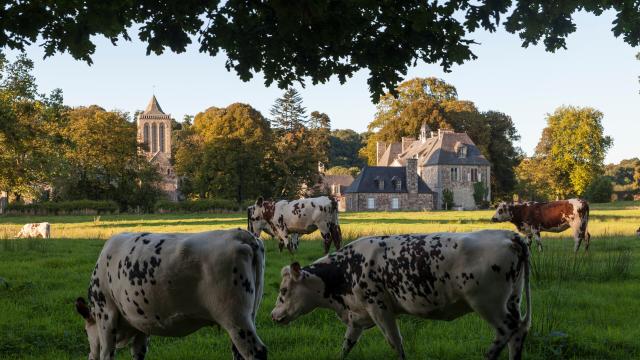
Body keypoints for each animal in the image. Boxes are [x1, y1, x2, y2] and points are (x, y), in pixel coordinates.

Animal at [75, 229, 268, 358]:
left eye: (85, 331)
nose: (89, 356)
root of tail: (239, 233)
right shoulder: (142, 324)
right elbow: (138, 352)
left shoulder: (106, 316)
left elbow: (106, 354)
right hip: (249, 314)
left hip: (234, 316)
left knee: (256, 352)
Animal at [272, 231, 532, 360]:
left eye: (283, 291)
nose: (273, 315)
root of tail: (510, 236)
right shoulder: (358, 316)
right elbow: (346, 345)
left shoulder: (379, 308)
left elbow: (395, 342)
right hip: (513, 299)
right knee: (518, 331)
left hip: (487, 302)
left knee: (507, 330)